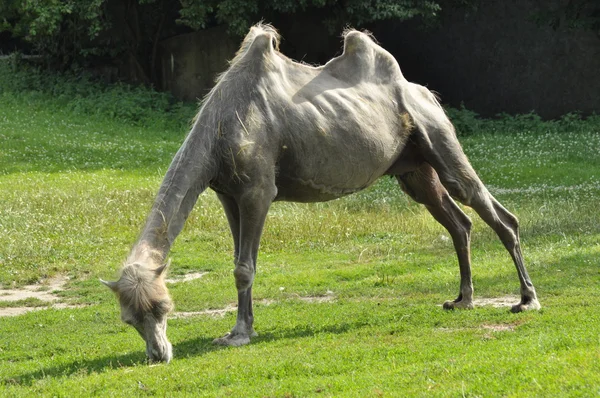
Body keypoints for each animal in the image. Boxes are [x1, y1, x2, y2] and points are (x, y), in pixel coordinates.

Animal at [101, 23, 540, 362]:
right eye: (129, 319)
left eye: (164, 306)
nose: (158, 354)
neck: (221, 126)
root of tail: (425, 93)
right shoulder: (227, 194)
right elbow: (237, 262)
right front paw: (242, 328)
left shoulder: (258, 190)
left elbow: (244, 267)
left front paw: (239, 334)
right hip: (414, 168)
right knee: (459, 221)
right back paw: (462, 299)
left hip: (438, 136)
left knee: (494, 211)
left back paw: (527, 299)